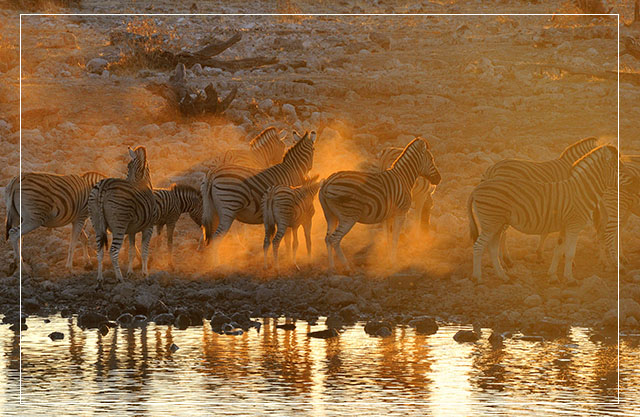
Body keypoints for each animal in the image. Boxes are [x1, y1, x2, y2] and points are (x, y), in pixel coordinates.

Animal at [89, 146, 158, 286]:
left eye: (127, 167)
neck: (142, 182)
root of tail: (104, 185)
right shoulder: (149, 227)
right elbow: (144, 251)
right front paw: (145, 275)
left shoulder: (131, 231)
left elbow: (132, 251)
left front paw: (130, 272)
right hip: (119, 225)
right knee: (113, 251)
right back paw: (119, 278)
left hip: (97, 223)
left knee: (99, 251)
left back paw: (100, 278)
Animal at [201, 131, 316, 260]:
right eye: (314, 149)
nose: (309, 173)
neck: (293, 170)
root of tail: (212, 174)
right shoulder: (288, 209)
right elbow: (288, 238)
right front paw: (288, 257)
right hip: (229, 207)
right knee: (216, 238)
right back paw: (219, 261)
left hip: (213, 210)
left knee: (210, 236)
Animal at [318, 136, 440, 270]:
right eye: (431, 159)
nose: (439, 179)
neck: (404, 177)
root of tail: (327, 183)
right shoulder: (401, 213)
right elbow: (395, 237)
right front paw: (394, 261)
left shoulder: (389, 215)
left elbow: (389, 236)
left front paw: (387, 258)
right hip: (348, 216)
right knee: (335, 239)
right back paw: (346, 266)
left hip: (330, 215)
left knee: (327, 239)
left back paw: (331, 267)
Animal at [468, 144, 624, 282]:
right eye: (618, 168)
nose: (628, 183)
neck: (581, 191)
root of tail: (476, 189)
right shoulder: (574, 225)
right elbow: (570, 253)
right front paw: (570, 279)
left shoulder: (565, 226)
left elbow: (558, 250)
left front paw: (553, 276)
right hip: (491, 223)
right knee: (478, 246)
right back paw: (478, 278)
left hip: (497, 224)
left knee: (492, 248)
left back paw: (503, 276)